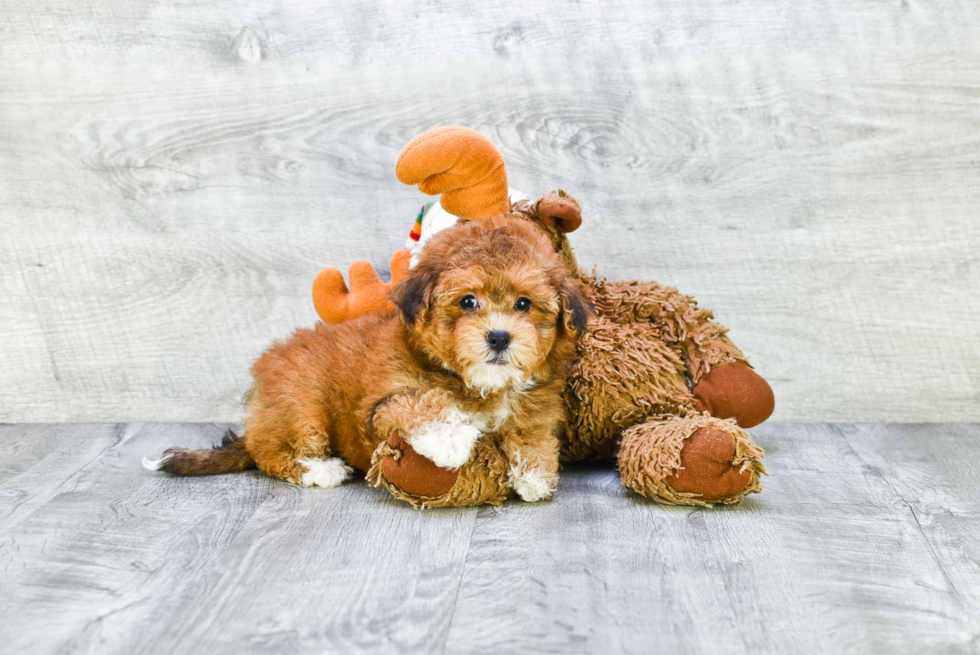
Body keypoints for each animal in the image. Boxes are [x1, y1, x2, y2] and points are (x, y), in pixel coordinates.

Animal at [145, 217, 588, 502]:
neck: (480, 385)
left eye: (524, 304)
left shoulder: (536, 405)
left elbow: (531, 433)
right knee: (270, 453)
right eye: (467, 302)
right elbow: (420, 402)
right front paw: (450, 439)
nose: (498, 337)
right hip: (299, 401)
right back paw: (322, 469)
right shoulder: (381, 407)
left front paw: (534, 474)